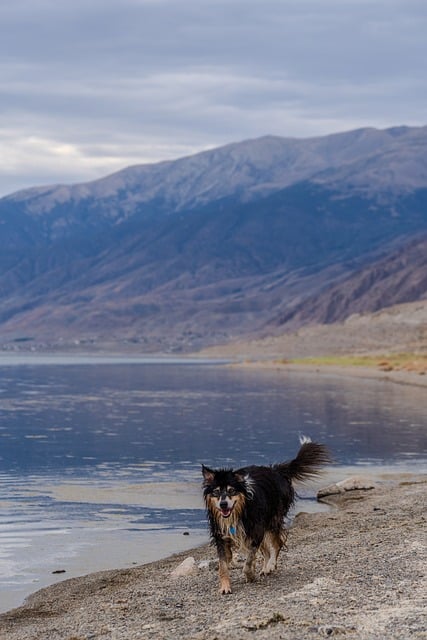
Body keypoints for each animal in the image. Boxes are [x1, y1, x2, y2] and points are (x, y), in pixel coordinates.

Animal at [202, 438, 330, 592]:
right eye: (216, 492)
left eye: (231, 490)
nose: (223, 504)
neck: (239, 511)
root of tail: (276, 471)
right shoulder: (221, 535)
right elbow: (223, 565)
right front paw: (225, 586)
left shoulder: (256, 531)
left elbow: (249, 560)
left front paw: (250, 575)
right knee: (266, 550)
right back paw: (265, 568)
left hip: (272, 520)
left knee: (277, 543)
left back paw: (270, 566)